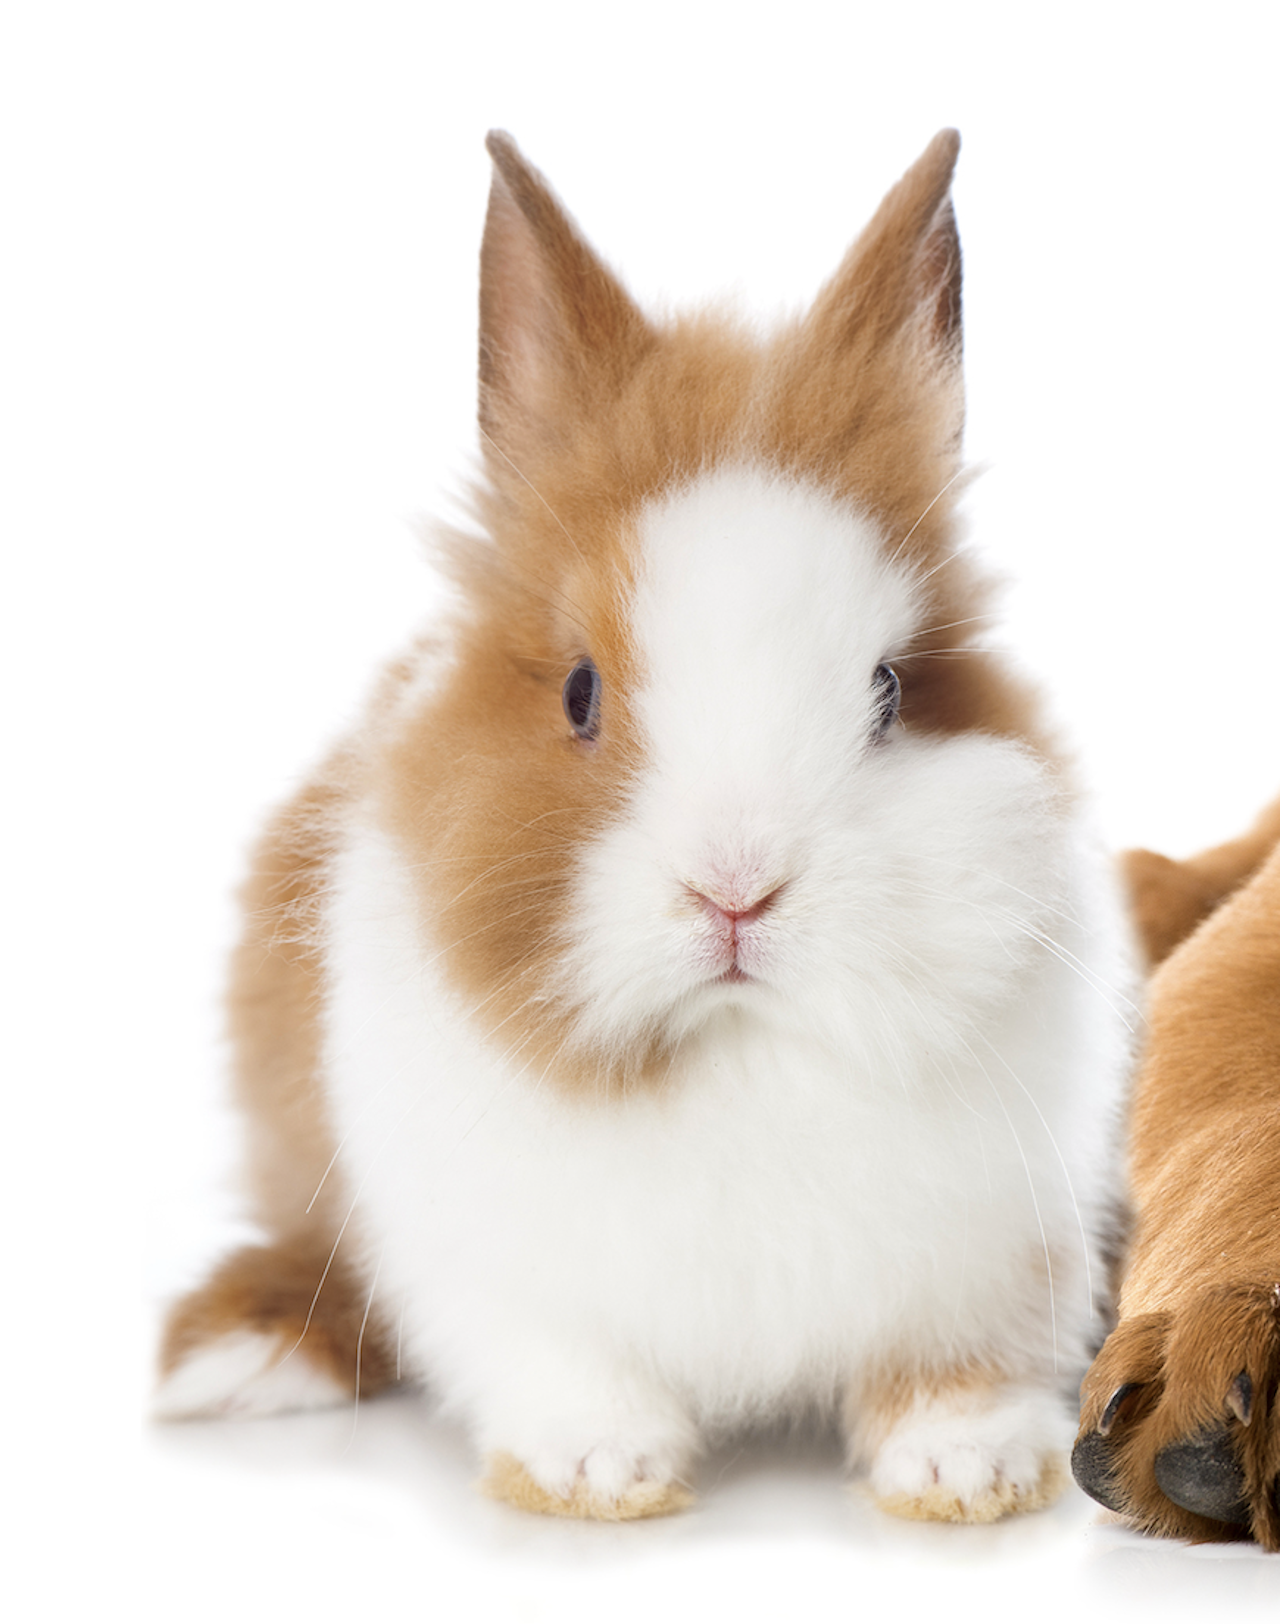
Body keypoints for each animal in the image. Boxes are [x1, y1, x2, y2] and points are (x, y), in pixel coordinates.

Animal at [155, 129, 1135, 1525]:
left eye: (889, 688)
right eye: (579, 691)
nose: (735, 888)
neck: (735, 1053)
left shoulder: (1005, 1244)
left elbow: (957, 1364)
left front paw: (968, 1468)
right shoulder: (488, 1264)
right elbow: (558, 1359)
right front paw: (596, 1469)